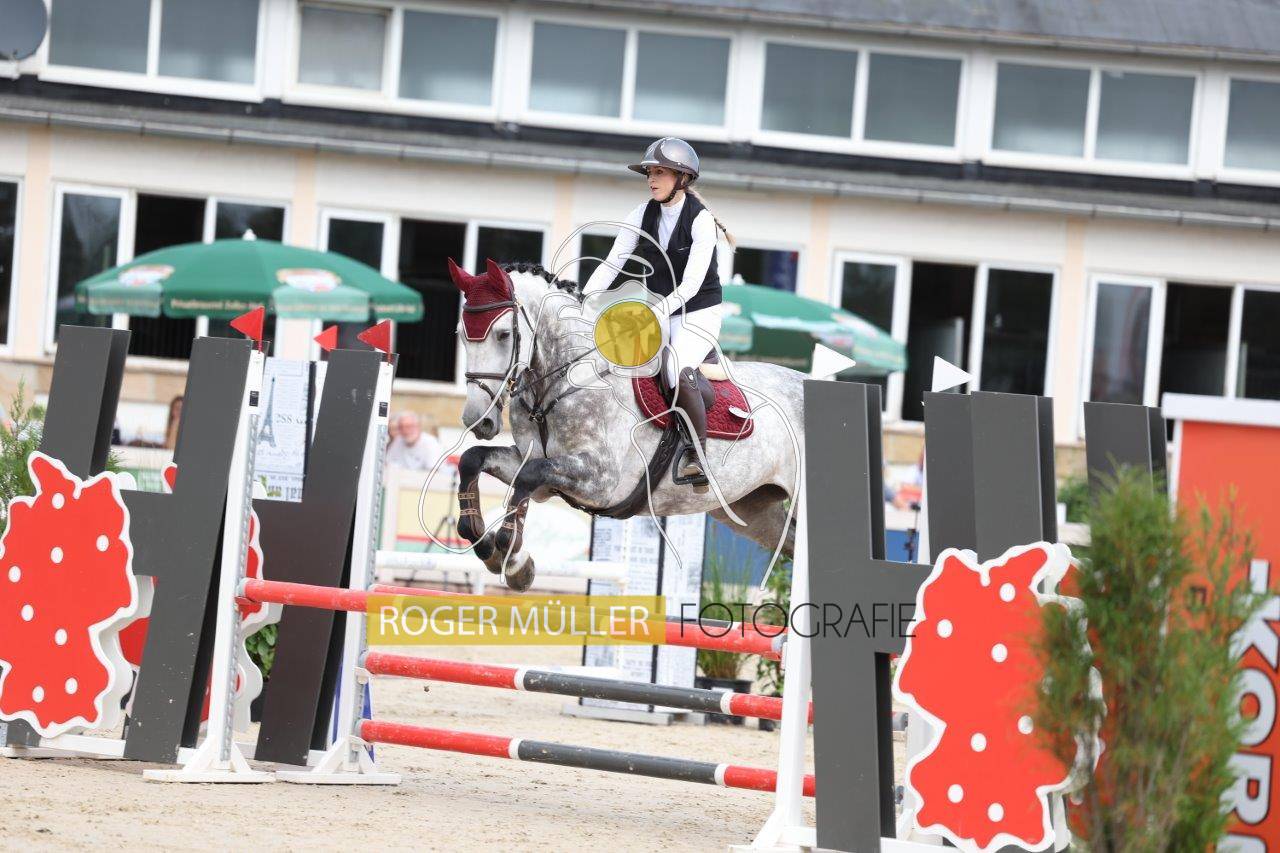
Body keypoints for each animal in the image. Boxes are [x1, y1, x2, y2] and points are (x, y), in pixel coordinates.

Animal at [448, 258, 806, 591]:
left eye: (503, 334)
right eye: (461, 336)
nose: (476, 419)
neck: (560, 382)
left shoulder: (600, 481)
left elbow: (528, 477)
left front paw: (513, 560)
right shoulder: (537, 465)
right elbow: (473, 459)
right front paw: (489, 546)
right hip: (751, 510)